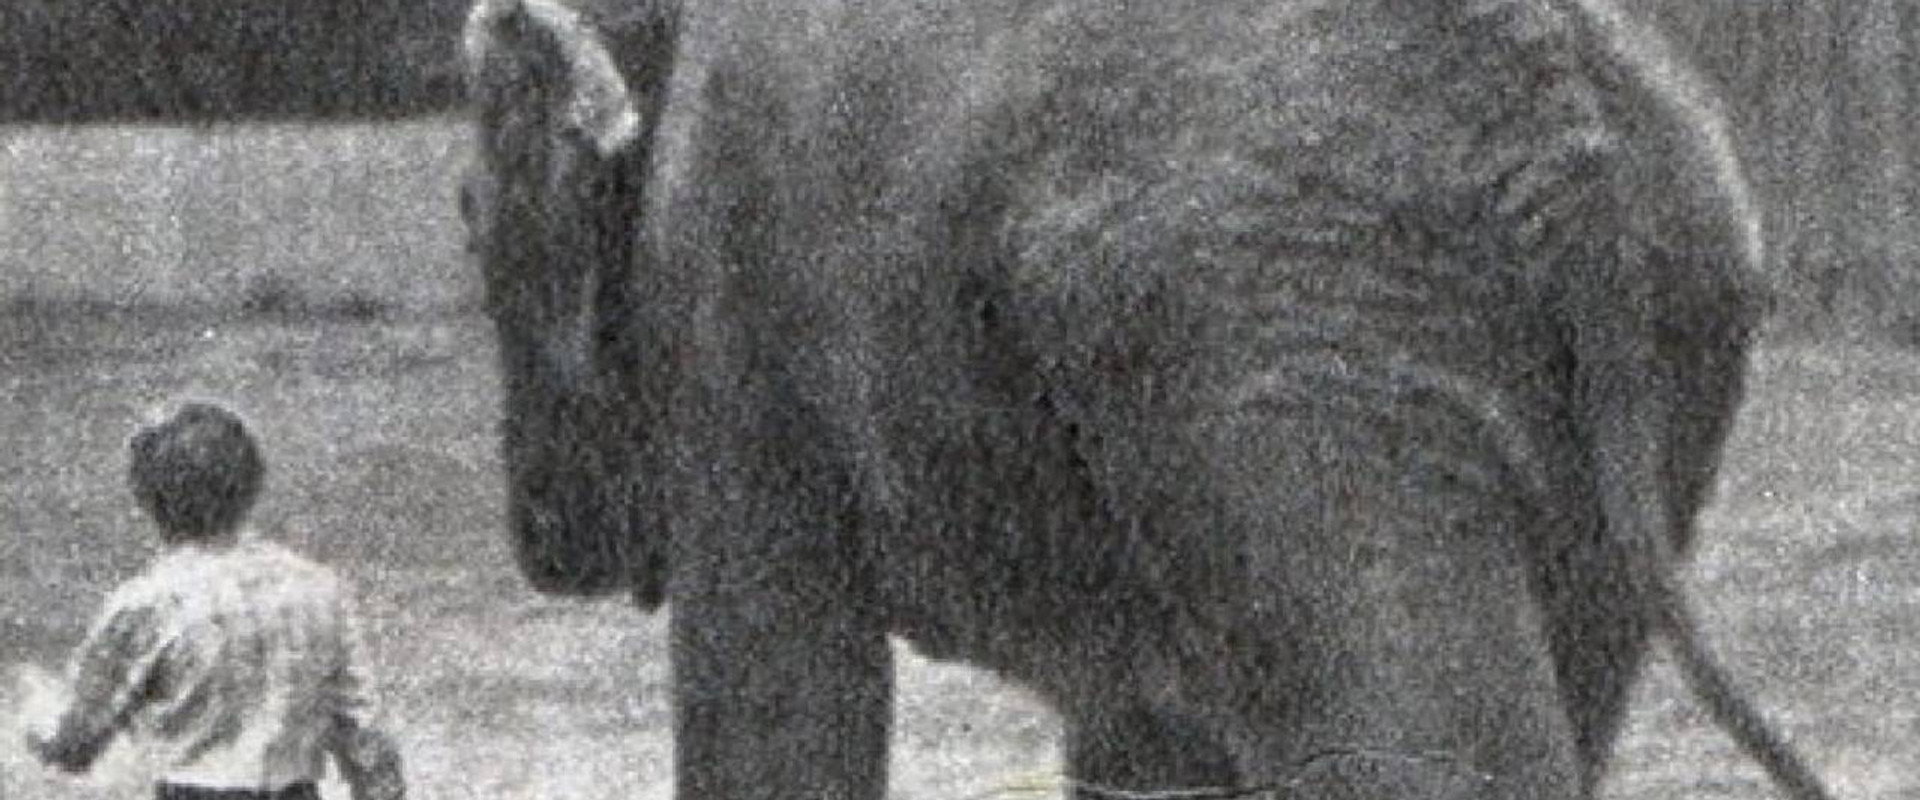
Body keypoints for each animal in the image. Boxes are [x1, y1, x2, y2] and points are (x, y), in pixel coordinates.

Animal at [458, 0, 1836, 798]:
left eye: (470, 219)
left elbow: (778, 683)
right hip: (1669, 302)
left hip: (1286, 317)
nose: (544, 541)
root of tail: (1553, 99)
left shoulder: (729, 309)